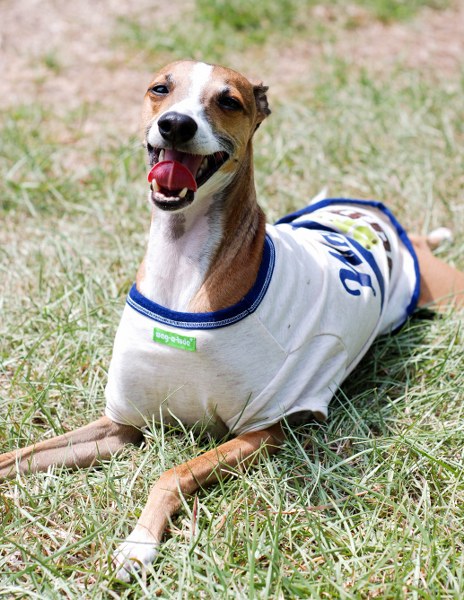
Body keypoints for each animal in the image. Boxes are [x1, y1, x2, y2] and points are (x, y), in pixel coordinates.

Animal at [1, 60, 464, 581]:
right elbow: (17, 457)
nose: (175, 125)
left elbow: (171, 474)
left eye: (229, 100)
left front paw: (139, 543)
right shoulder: (121, 425)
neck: (181, 271)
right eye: (161, 88)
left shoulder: (262, 430)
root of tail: (381, 220)